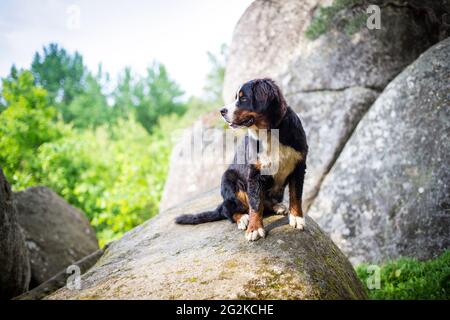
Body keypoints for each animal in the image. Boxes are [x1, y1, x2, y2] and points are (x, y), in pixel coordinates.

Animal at [176, 79, 310, 241]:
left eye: (243, 98)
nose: (222, 111)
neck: (271, 133)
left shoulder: (299, 166)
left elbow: (296, 196)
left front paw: (297, 218)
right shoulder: (254, 173)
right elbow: (255, 204)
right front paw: (254, 228)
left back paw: (278, 206)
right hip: (228, 179)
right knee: (228, 210)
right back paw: (243, 218)